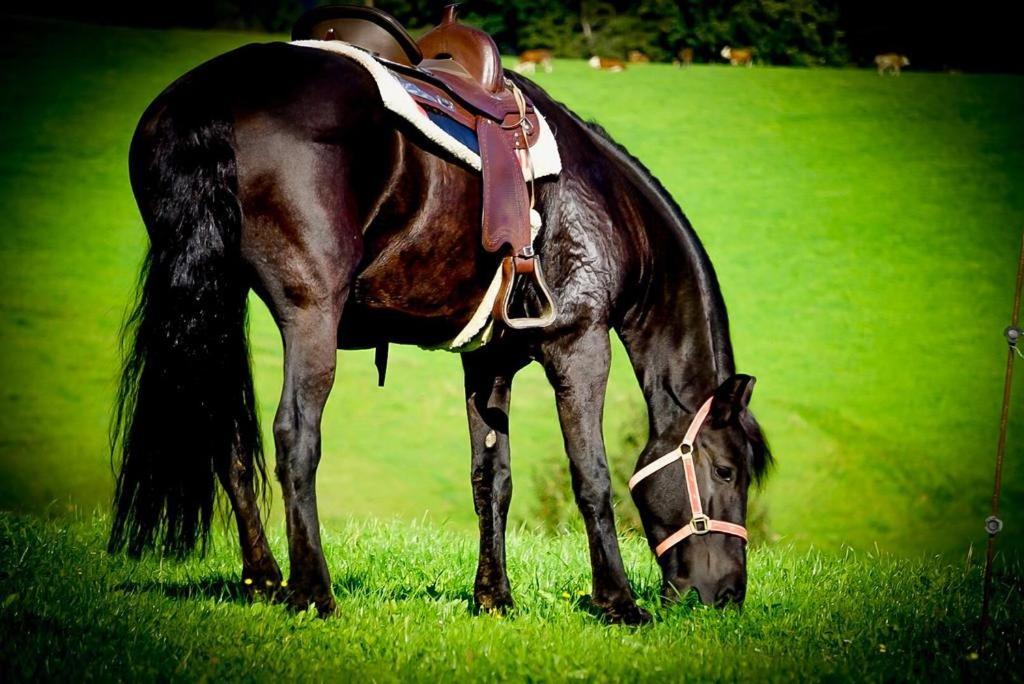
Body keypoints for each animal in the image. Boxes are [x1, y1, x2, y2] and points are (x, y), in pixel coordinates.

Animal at [110, 42, 770, 626]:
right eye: (728, 472)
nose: (729, 594)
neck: (604, 205)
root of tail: (214, 94)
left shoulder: (489, 362)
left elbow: (491, 479)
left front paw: (494, 598)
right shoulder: (580, 345)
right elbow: (592, 477)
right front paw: (618, 603)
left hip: (216, 299)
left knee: (221, 432)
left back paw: (264, 579)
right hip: (310, 312)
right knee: (295, 435)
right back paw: (313, 593)